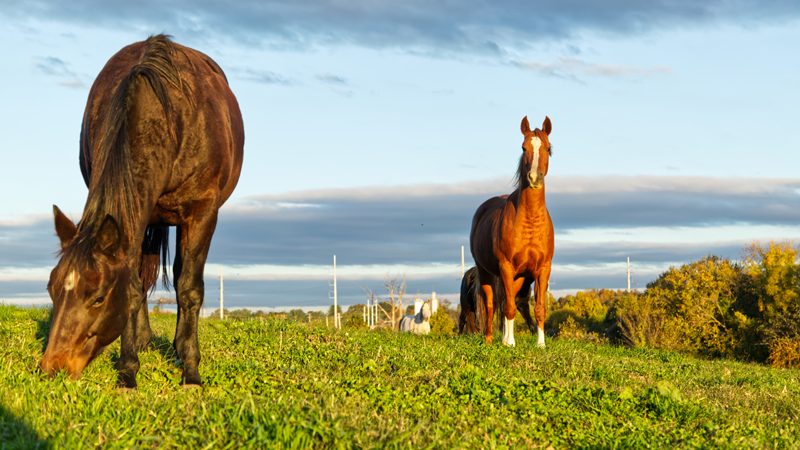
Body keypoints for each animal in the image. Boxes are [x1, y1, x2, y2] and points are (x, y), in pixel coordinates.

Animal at [40, 35, 244, 386]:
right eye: (52, 290)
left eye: (98, 297)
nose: (54, 367)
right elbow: (133, 289)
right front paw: (128, 370)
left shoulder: (202, 212)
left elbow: (189, 288)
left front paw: (191, 371)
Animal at [468, 116, 556, 348]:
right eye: (523, 147)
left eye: (548, 148)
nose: (534, 178)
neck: (530, 222)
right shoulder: (506, 267)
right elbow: (506, 307)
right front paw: (510, 344)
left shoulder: (543, 269)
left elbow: (539, 308)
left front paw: (540, 344)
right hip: (487, 272)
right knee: (492, 304)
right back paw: (491, 339)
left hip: (520, 278)